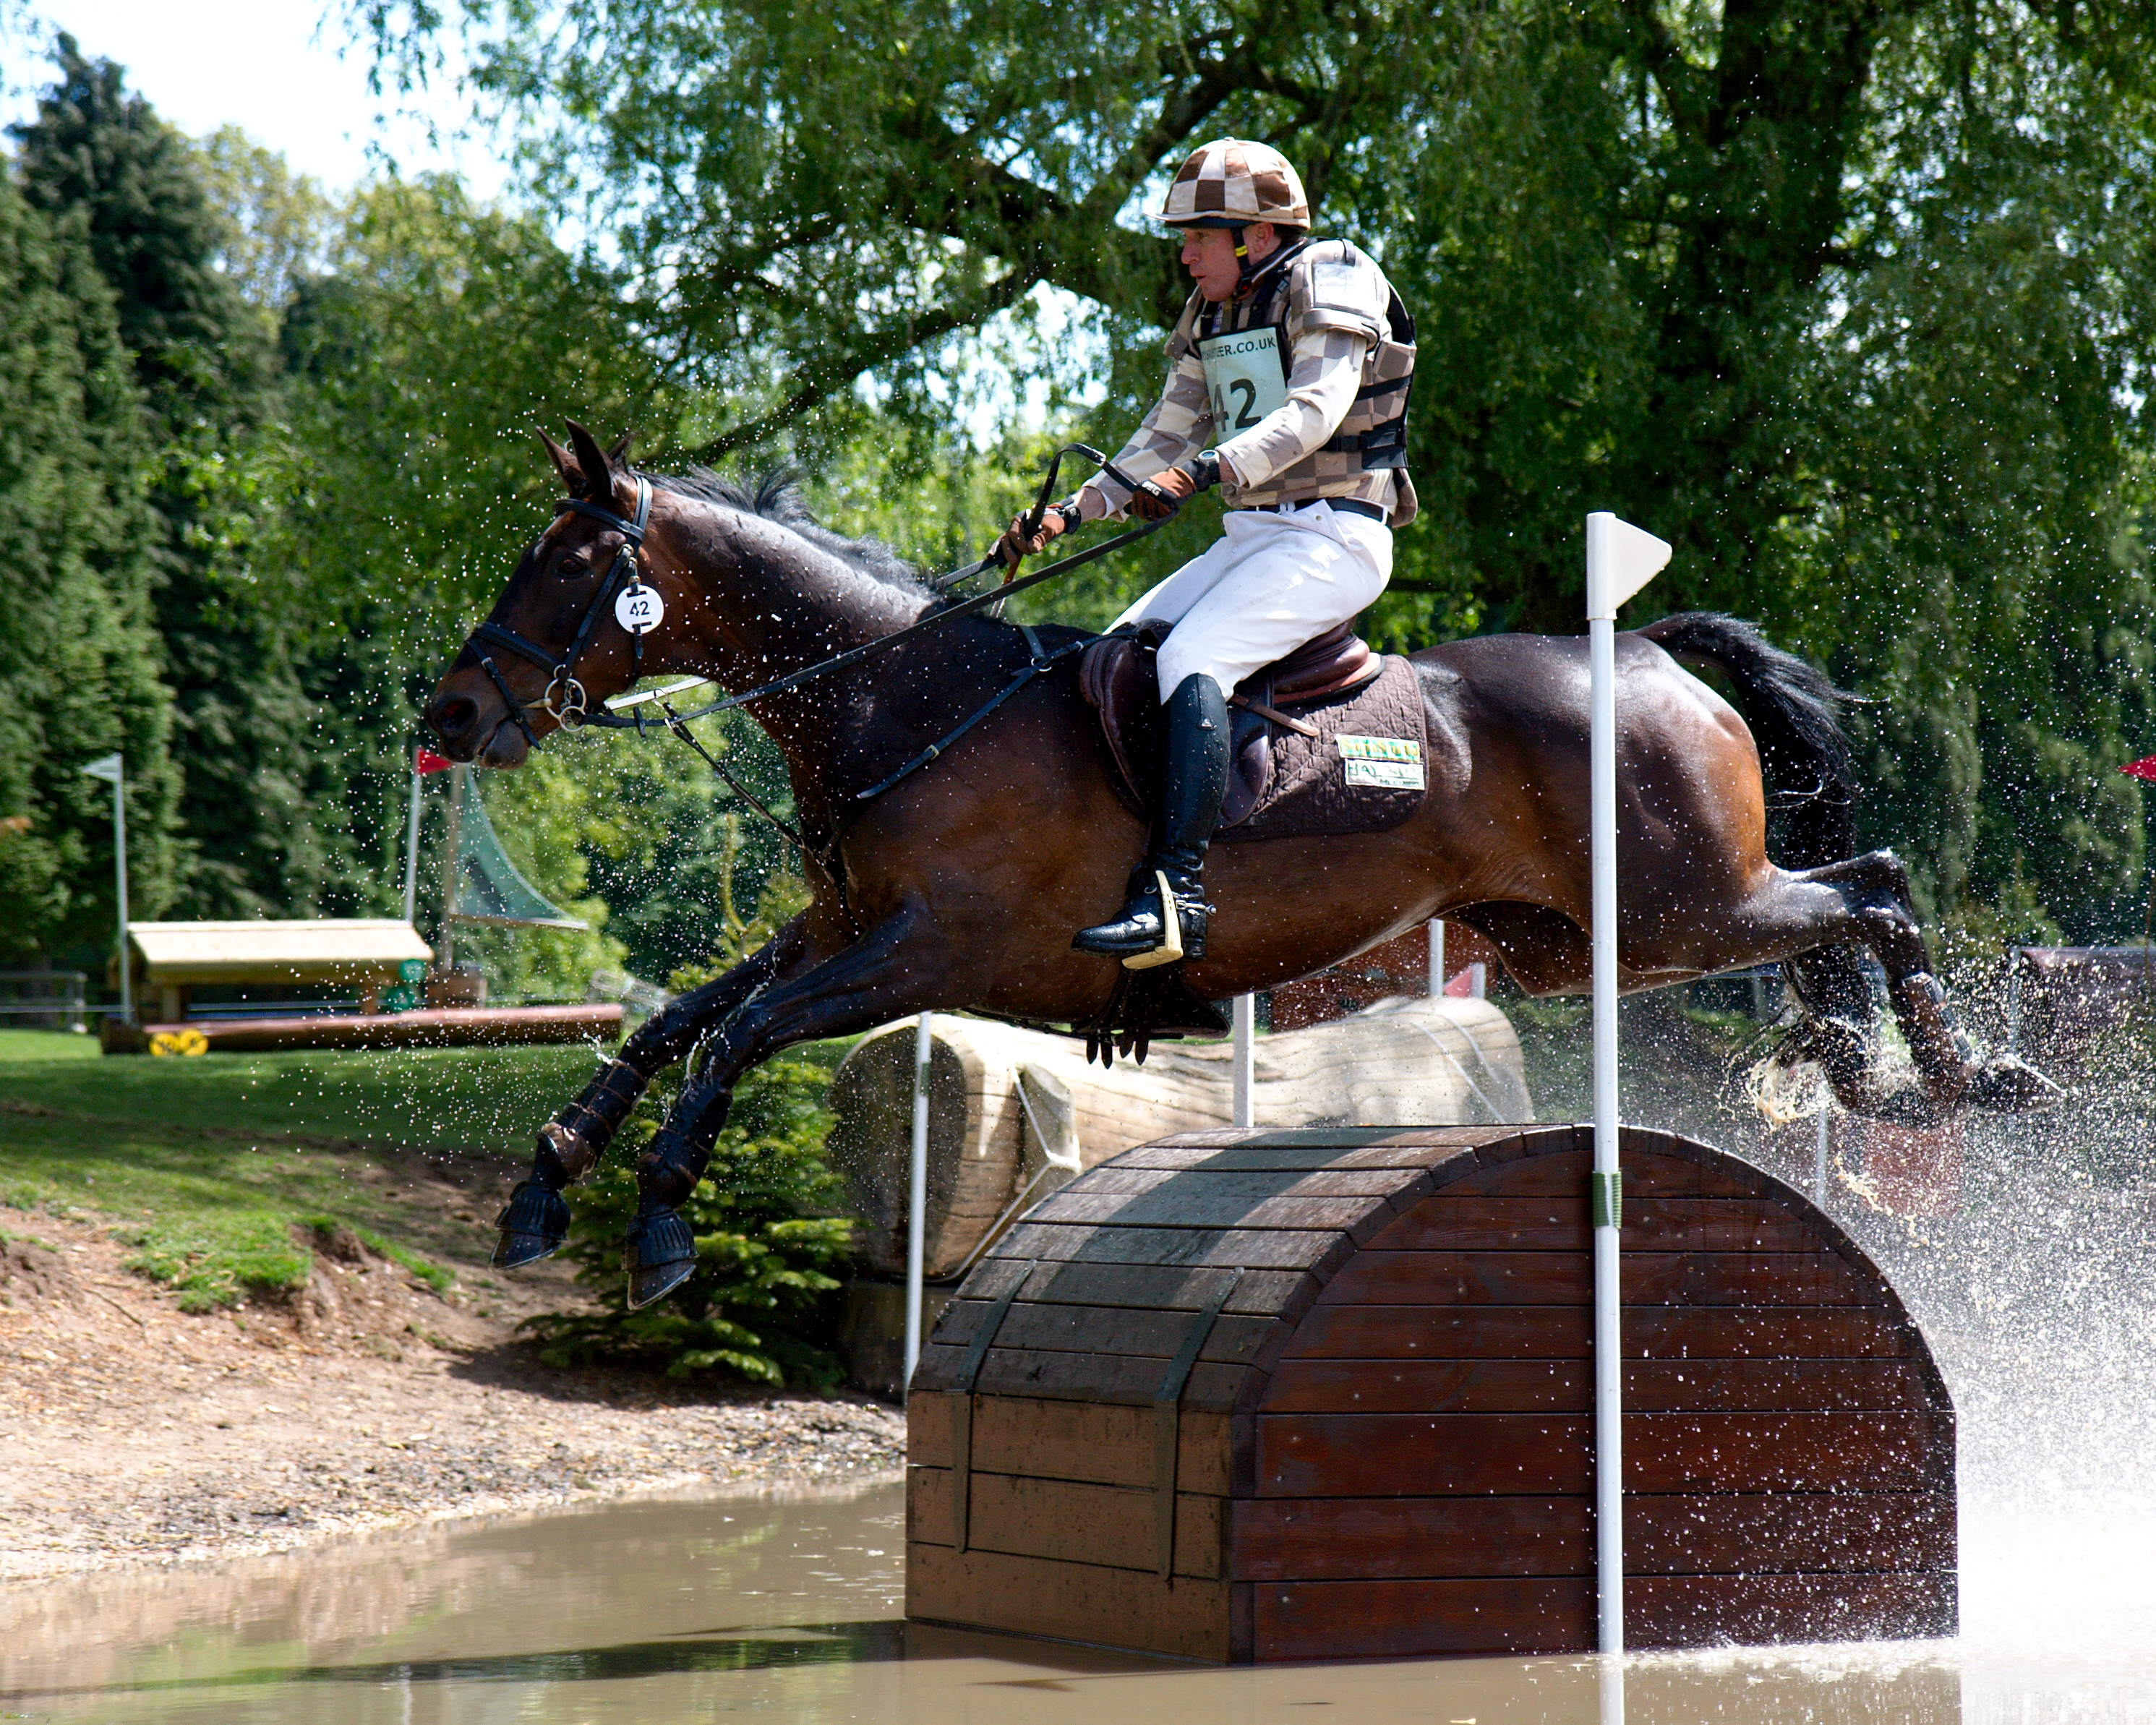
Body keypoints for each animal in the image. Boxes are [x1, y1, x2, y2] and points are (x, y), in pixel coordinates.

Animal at [420, 424, 2052, 1302]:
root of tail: (1645, 648)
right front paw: (546, 1189)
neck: (904, 705)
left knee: (1875, 886)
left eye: (568, 568)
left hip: (1673, 903)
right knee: (1830, 921)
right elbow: (680, 1019)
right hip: (1585, 938)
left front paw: (660, 1225)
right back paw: (1868, 1070)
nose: (449, 717)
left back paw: (1959, 1074)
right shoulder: (839, 931)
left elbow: (732, 1039)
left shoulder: (929, 951)